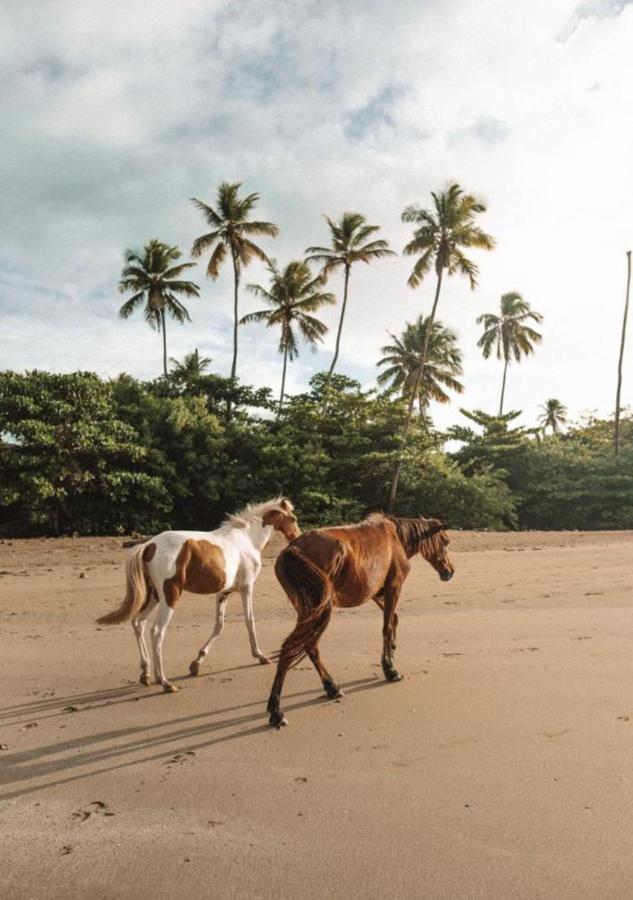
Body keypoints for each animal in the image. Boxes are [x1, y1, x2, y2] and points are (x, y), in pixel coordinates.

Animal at [96, 496, 298, 692]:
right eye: (293, 518)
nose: (296, 536)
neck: (247, 540)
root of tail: (149, 545)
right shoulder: (247, 588)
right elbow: (249, 621)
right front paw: (260, 656)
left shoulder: (223, 593)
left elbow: (219, 625)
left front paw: (196, 663)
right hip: (169, 596)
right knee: (157, 632)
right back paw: (165, 682)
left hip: (154, 596)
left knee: (138, 623)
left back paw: (146, 675)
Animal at [264, 510, 452, 728]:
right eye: (445, 541)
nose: (450, 572)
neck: (396, 536)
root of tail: (292, 549)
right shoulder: (393, 588)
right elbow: (387, 627)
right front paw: (390, 669)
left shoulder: (377, 593)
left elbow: (393, 619)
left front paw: (392, 653)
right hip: (316, 610)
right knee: (292, 648)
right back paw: (276, 711)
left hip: (310, 611)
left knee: (309, 646)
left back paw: (331, 688)